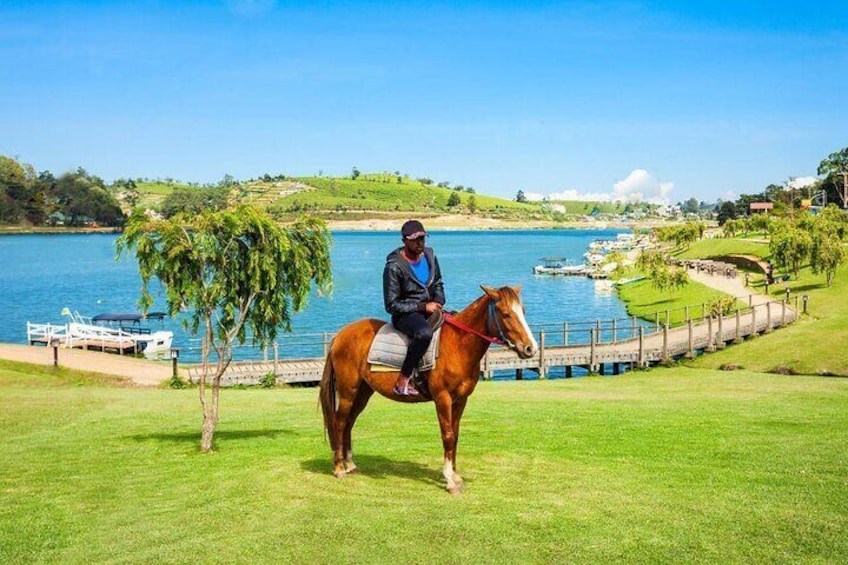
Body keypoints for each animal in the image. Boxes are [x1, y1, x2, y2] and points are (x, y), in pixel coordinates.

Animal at [318, 284, 536, 492]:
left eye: (523, 311)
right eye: (506, 314)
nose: (530, 348)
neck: (458, 344)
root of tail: (340, 335)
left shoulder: (460, 400)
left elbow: (455, 434)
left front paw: (455, 474)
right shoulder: (442, 398)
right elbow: (447, 435)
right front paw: (450, 480)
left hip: (363, 393)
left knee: (349, 423)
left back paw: (350, 465)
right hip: (348, 392)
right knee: (339, 422)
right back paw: (339, 468)